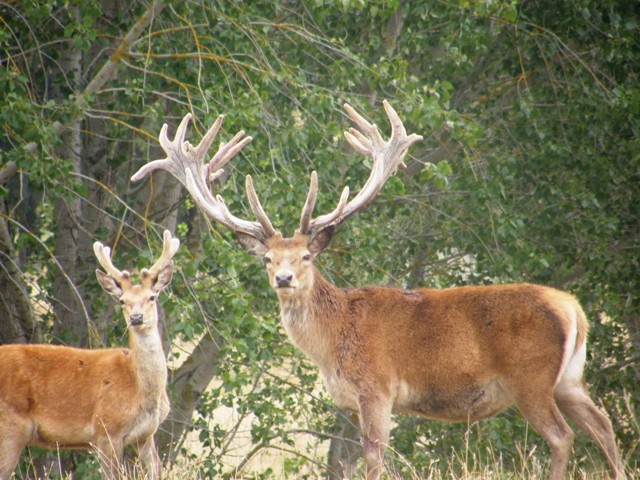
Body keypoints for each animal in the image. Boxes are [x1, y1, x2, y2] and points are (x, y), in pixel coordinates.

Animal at [0, 230, 179, 480]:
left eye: (152, 296)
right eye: (122, 301)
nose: (136, 318)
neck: (138, 387)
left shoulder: (146, 435)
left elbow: (156, 470)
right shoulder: (105, 430)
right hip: (10, 427)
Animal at [131, 102, 626, 480]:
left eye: (306, 256)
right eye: (268, 258)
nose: (283, 279)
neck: (333, 343)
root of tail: (574, 310)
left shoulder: (377, 388)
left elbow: (373, 461)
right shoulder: (355, 402)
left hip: (531, 377)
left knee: (563, 436)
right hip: (570, 379)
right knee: (603, 427)